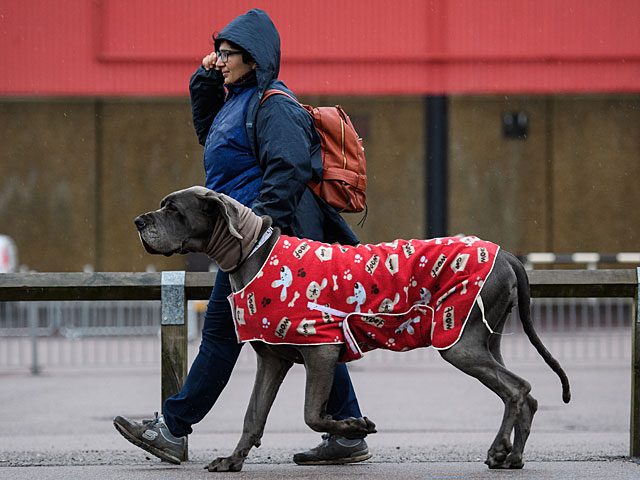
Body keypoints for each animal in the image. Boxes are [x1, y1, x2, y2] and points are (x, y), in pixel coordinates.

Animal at [134, 187, 568, 472]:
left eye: (173, 209)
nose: (138, 220)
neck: (253, 254)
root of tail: (505, 254)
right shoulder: (272, 359)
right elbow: (253, 415)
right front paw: (232, 460)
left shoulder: (320, 349)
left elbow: (312, 414)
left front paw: (356, 426)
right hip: (483, 339)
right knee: (523, 395)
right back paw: (510, 455)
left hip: (460, 341)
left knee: (518, 389)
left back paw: (503, 452)